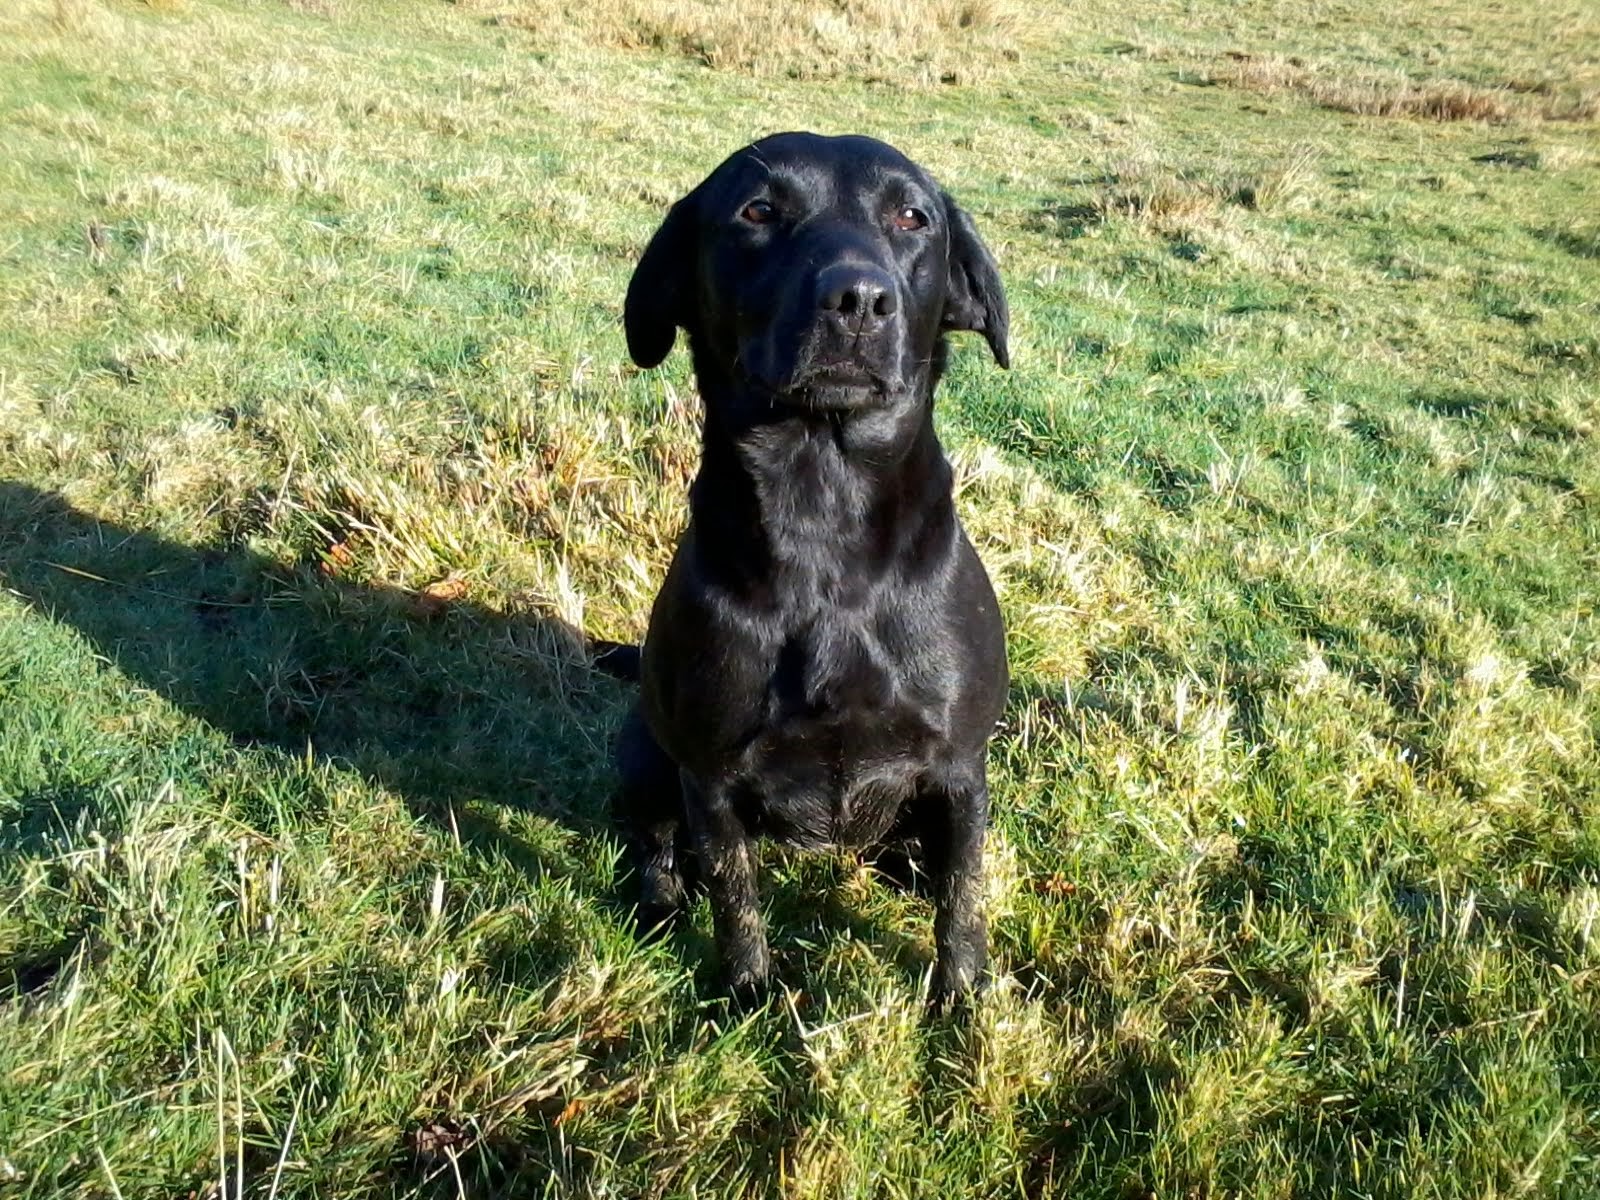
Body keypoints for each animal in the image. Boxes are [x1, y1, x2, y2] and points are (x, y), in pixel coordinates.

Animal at [611, 131, 1011, 1011]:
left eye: (912, 216)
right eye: (758, 211)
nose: (857, 299)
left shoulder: (960, 769)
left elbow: (961, 900)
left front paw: (960, 1007)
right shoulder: (710, 775)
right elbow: (736, 900)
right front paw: (747, 997)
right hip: (645, 750)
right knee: (653, 842)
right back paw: (657, 906)